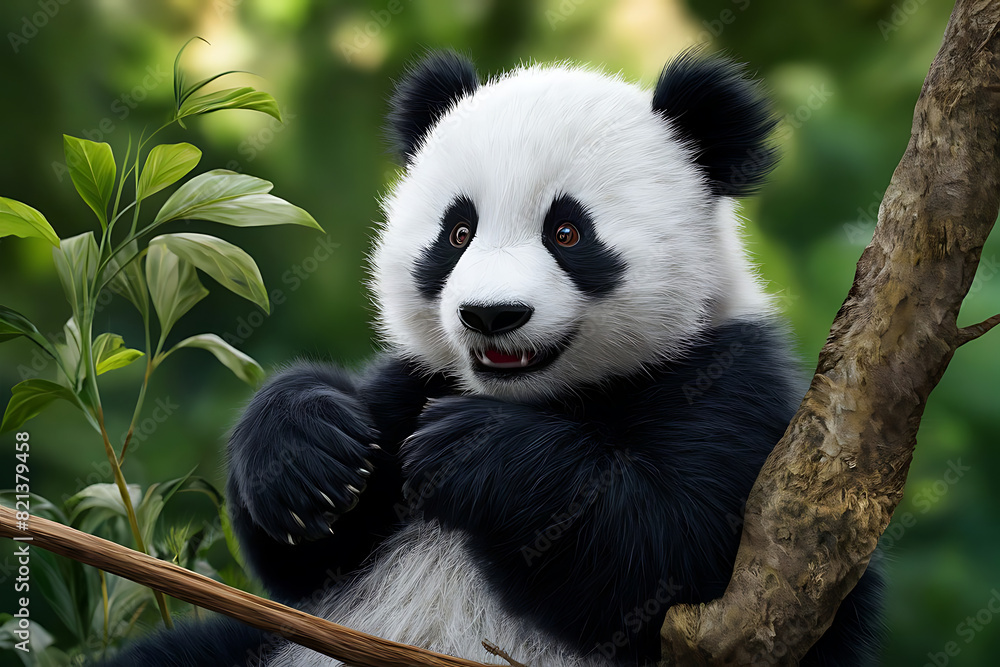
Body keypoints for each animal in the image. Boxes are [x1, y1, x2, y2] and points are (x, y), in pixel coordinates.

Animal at [109, 50, 883, 666]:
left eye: (568, 232)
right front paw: (307, 455)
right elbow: (304, 562)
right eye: (458, 231)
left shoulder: (726, 384)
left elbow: (690, 556)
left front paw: (477, 451)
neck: (541, 396)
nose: (491, 315)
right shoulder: (415, 383)